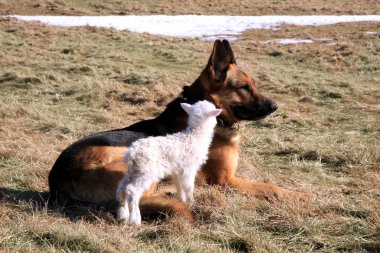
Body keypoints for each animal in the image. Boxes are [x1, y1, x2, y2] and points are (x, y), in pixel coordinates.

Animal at [49, 40, 312, 221]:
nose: (275, 107)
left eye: (254, 85)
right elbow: (270, 187)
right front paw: (301, 195)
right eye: (244, 87)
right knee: (136, 197)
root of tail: (58, 179)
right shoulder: (225, 180)